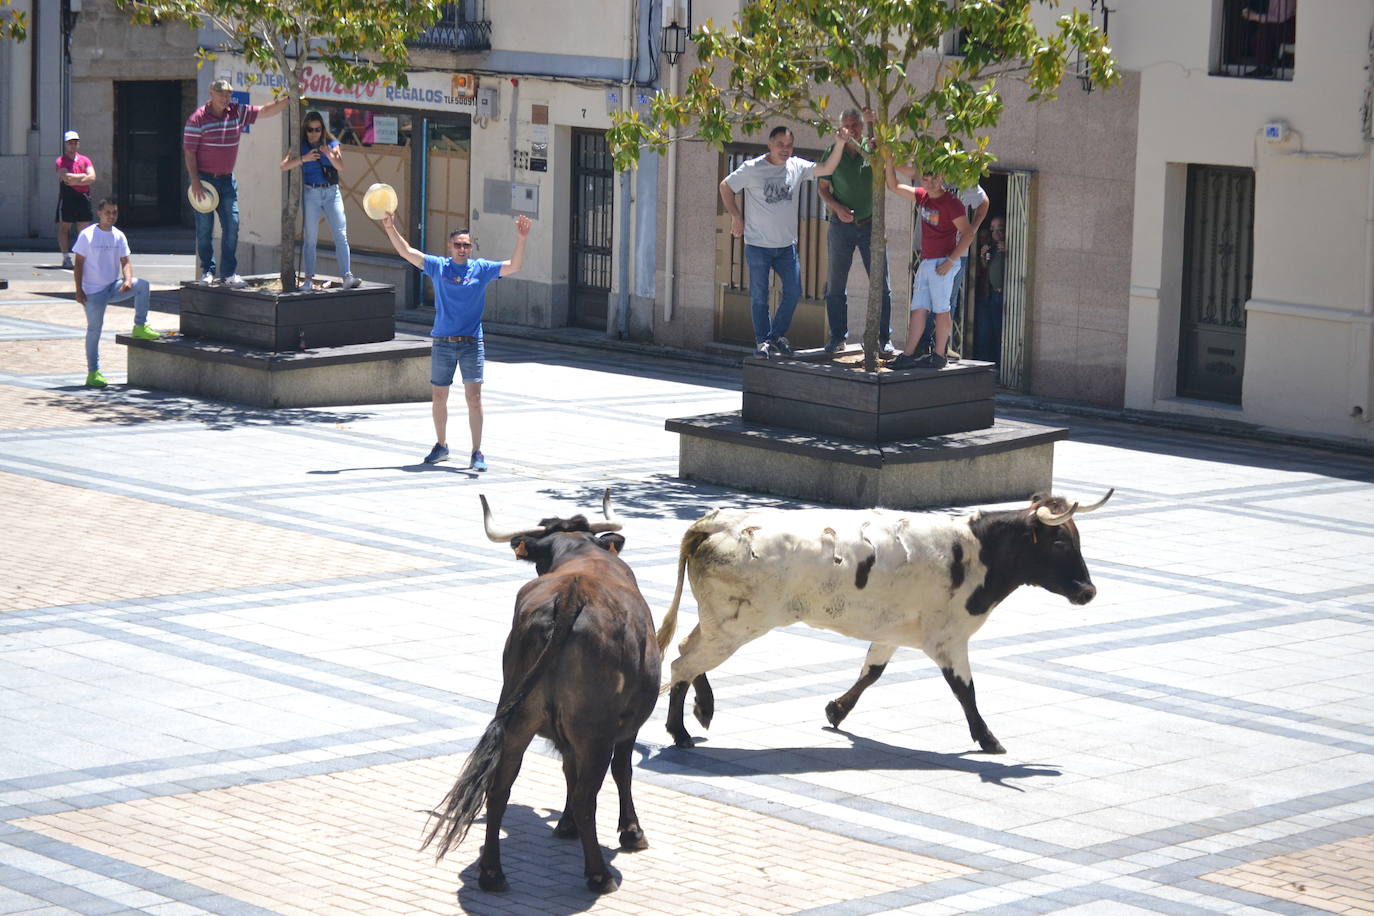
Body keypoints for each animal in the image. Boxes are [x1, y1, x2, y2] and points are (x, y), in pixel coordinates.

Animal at [423, 494, 665, 895]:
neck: (581, 551)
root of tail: (570, 596)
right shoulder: (628, 723)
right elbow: (622, 770)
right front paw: (631, 832)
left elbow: (568, 768)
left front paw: (565, 826)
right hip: (594, 729)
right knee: (587, 794)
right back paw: (599, 875)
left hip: (519, 718)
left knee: (500, 787)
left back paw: (492, 874)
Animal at [656, 491, 1115, 758]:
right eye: (1060, 541)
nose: (1088, 591)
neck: (977, 549)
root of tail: (720, 521)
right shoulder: (948, 640)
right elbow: (965, 692)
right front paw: (988, 738)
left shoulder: (892, 632)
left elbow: (871, 672)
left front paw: (836, 710)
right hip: (734, 626)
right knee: (683, 664)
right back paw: (679, 731)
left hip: (721, 623)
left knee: (686, 653)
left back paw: (703, 710)